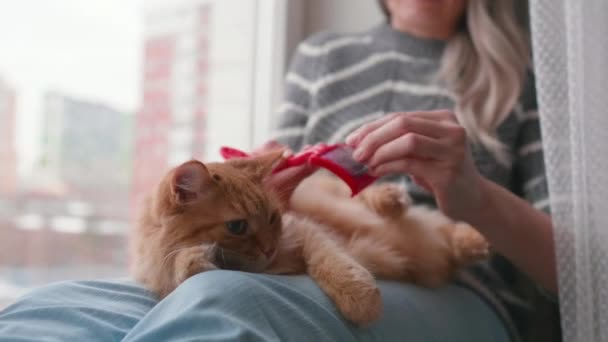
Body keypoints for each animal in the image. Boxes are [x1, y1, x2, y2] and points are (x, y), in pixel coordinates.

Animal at [129, 152, 490, 326]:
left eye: (272, 218)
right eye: (237, 227)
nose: (270, 248)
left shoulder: (305, 231)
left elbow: (334, 264)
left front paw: (361, 301)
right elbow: (184, 268)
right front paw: (196, 258)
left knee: (436, 222)